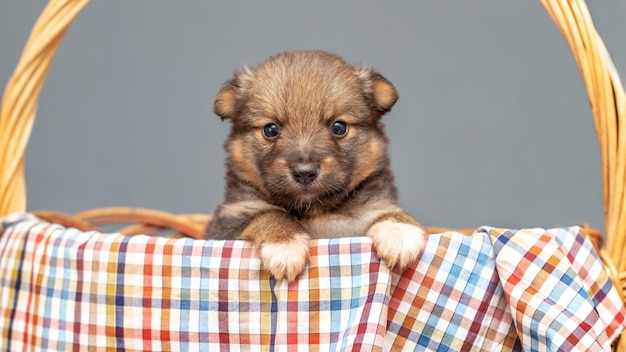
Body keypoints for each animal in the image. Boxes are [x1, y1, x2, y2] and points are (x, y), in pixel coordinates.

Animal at [205, 51, 424, 282]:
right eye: (270, 129)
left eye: (339, 127)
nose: (304, 173)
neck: (314, 210)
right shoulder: (227, 220)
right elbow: (266, 213)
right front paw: (285, 245)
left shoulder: (373, 207)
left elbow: (388, 212)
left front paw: (399, 232)